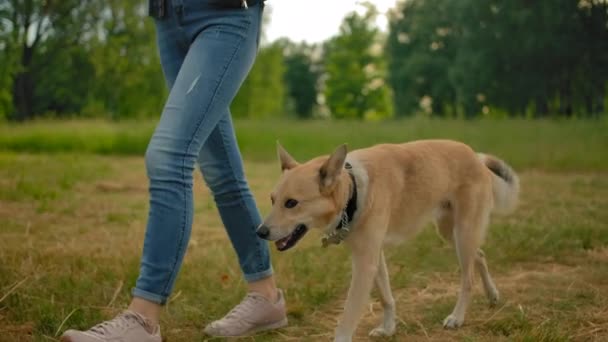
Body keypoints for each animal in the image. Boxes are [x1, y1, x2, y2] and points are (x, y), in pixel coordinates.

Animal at [255, 140, 516, 340]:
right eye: (272, 200)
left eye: (291, 203)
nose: (260, 232)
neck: (353, 191)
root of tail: (475, 156)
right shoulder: (373, 257)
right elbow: (386, 297)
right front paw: (389, 328)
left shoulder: (364, 264)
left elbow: (348, 316)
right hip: (450, 232)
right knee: (479, 255)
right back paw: (492, 294)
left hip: (463, 233)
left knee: (468, 278)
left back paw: (458, 317)